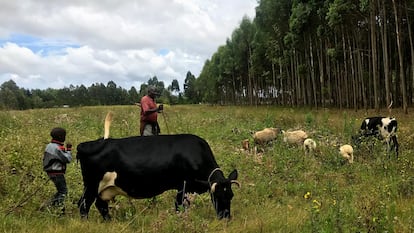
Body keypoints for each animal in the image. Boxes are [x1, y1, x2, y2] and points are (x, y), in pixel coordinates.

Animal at [77, 112, 239, 220]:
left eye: (230, 195)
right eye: (217, 196)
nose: (226, 218)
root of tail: (95, 142)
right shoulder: (183, 185)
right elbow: (179, 205)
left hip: (102, 188)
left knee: (100, 205)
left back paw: (109, 221)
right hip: (91, 185)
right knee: (83, 205)